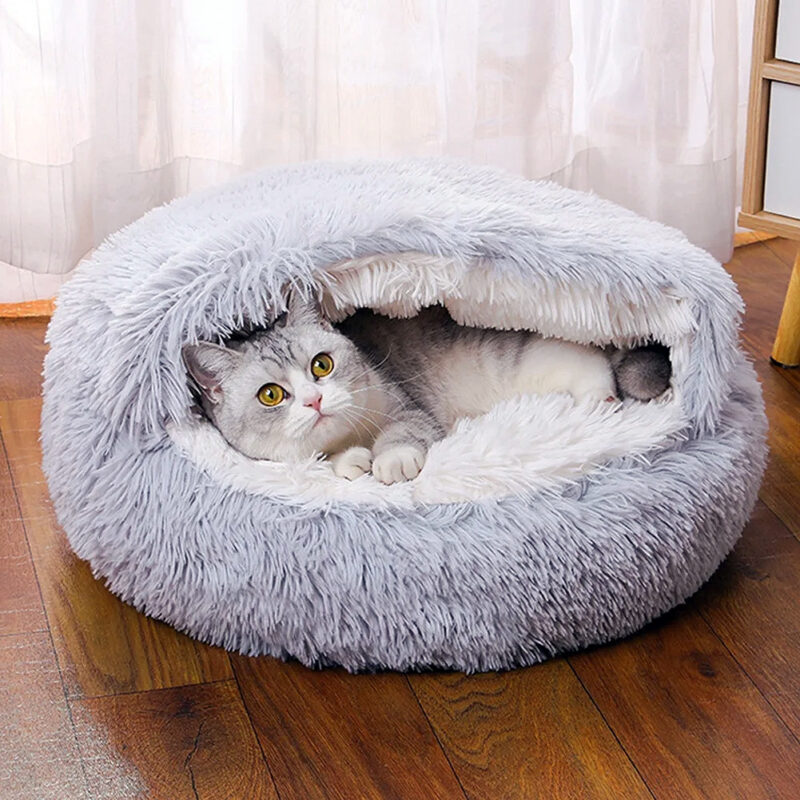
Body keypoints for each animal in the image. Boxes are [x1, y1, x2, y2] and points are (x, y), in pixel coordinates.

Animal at [182, 294, 671, 484]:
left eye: (322, 365)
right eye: (271, 394)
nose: (314, 399)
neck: (351, 434)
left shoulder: (409, 407)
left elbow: (403, 433)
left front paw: (390, 461)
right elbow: (331, 460)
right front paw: (350, 462)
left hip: (540, 358)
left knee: (593, 368)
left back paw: (597, 401)